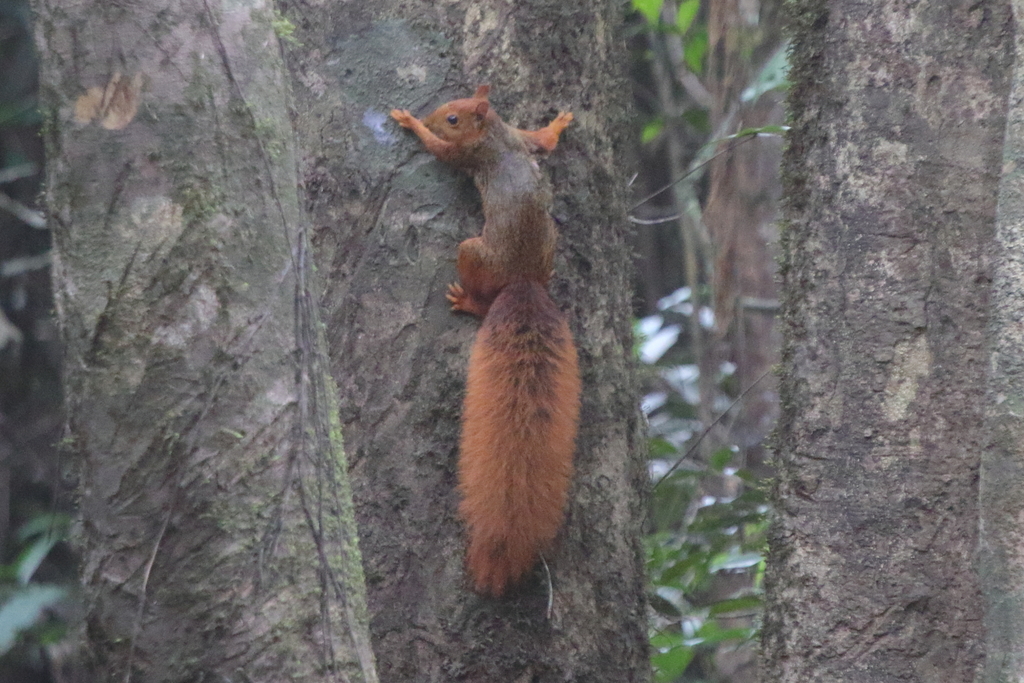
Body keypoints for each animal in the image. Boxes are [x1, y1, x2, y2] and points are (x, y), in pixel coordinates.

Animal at [391, 86, 581, 596]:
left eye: (453, 118)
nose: (431, 116)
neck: (495, 133)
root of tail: (525, 283)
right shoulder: (520, 136)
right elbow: (543, 142)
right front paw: (559, 124)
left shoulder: (464, 155)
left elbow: (439, 152)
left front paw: (410, 123)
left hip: (473, 253)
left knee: (475, 280)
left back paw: (468, 302)